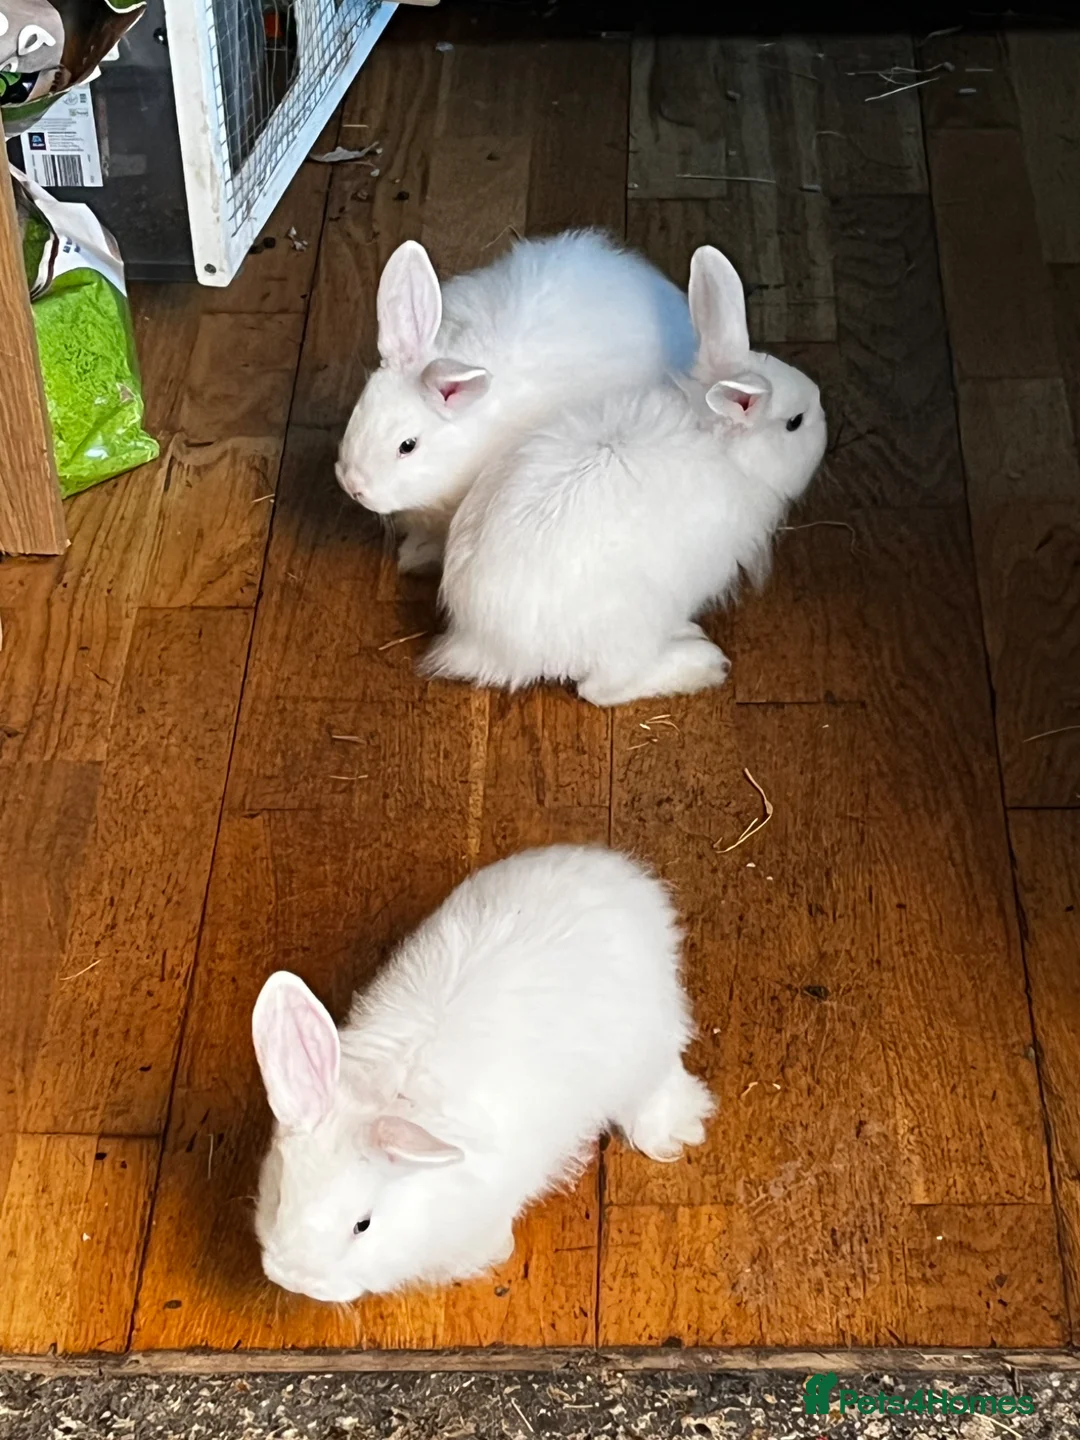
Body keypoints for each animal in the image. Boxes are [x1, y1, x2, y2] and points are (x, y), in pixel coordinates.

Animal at [252, 844, 713, 1302]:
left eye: (362, 1225)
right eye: (279, 1198)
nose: (295, 1278)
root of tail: (623, 876)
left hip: (647, 1044)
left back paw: (673, 1133)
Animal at [423, 245, 828, 707]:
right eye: (795, 423)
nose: (825, 417)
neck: (727, 451)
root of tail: (483, 644)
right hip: (633, 626)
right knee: (601, 690)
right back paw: (700, 663)